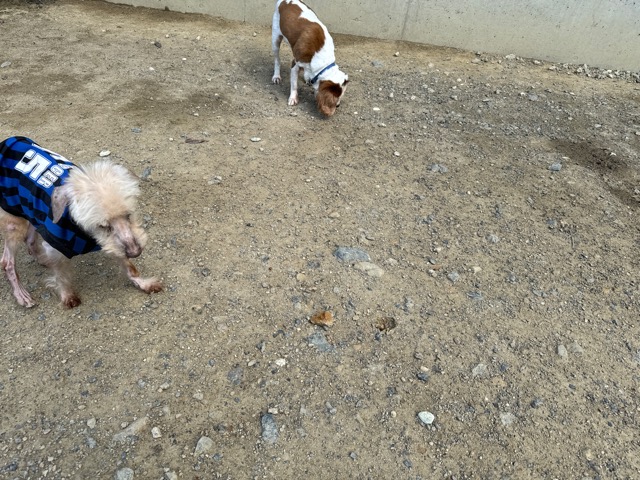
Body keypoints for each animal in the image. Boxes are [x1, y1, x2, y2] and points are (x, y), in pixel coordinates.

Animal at [0, 136, 162, 308]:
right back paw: (21, 294)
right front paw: (67, 295)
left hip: (29, 212)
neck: (84, 232)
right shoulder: (56, 245)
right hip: (13, 221)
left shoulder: (115, 243)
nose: (135, 252)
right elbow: (61, 275)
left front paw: (143, 283)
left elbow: (129, 266)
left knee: (30, 240)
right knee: (7, 262)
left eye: (128, 215)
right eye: (103, 225)